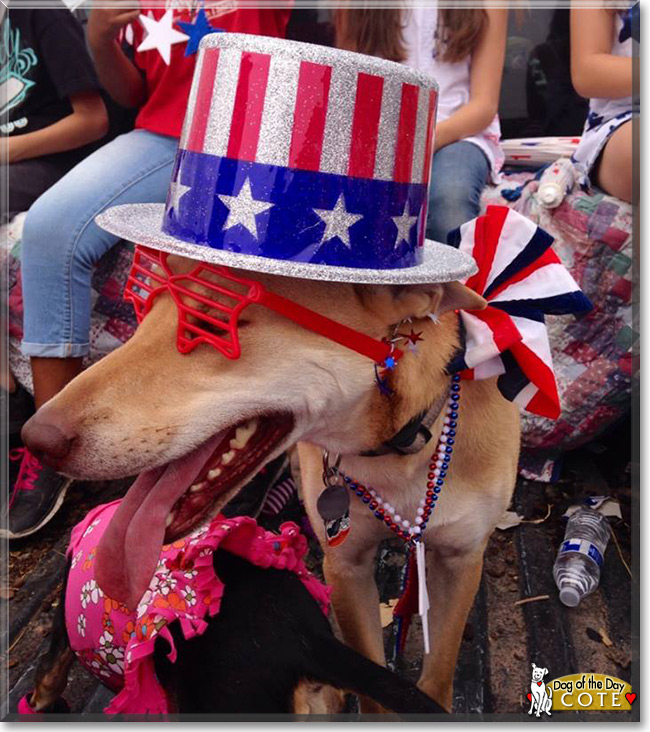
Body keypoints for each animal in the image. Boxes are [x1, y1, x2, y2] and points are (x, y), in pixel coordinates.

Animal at [24, 256, 516, 708]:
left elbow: (437, 677)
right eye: (143, 303)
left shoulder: (460, 561)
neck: (400, 448)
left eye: (210, 322)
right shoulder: (347, 568)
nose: (35, 441)